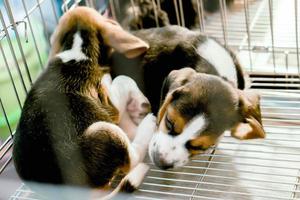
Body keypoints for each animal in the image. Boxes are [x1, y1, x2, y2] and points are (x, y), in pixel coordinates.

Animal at [12, 6, 157, 197]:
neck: (78, 49)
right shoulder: (109, 103)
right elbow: (123, 80)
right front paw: (139, 102)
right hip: (105, 130)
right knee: (132, 158)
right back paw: (147, 125)